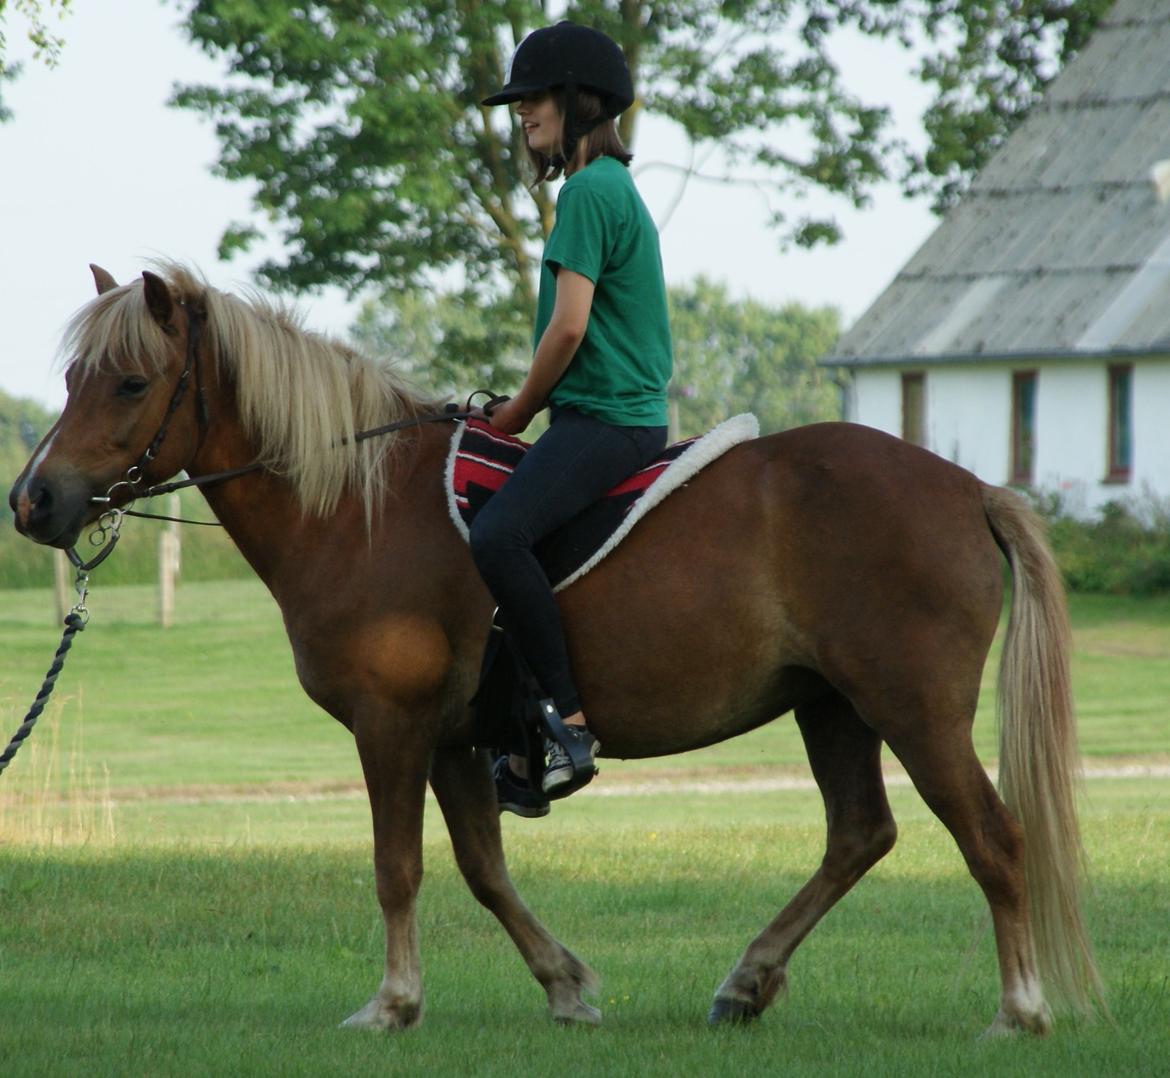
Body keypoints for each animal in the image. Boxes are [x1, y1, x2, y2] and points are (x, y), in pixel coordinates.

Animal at [11, 261, 1104, 1034]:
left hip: (912, 708)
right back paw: (748, 981)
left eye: (130, 382)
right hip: (830, 704)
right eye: (70, 377)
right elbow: (482, 870)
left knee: (993, 840)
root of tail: (968, 487)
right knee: (859, 835)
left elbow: (397, 865)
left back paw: (1019, 1010)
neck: (363, 510)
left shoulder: (391, 726)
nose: (35, 500)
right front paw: (566, 984)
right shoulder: (454, 740)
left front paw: (392, 1004)